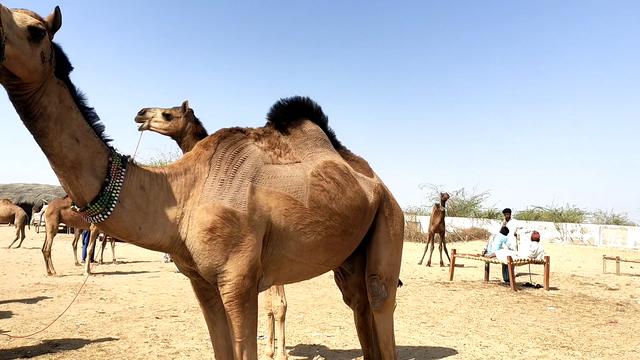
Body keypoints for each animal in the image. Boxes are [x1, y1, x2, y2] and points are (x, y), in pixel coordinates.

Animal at [0, 6, 402, 360]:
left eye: (35, 31)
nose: (140, 114)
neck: (181, 194)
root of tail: (377, 183)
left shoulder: (239, 281)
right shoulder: (201, 282)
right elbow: (220, 348)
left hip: (389, 220)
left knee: (378, 299)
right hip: (350, 255)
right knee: (358, 306)